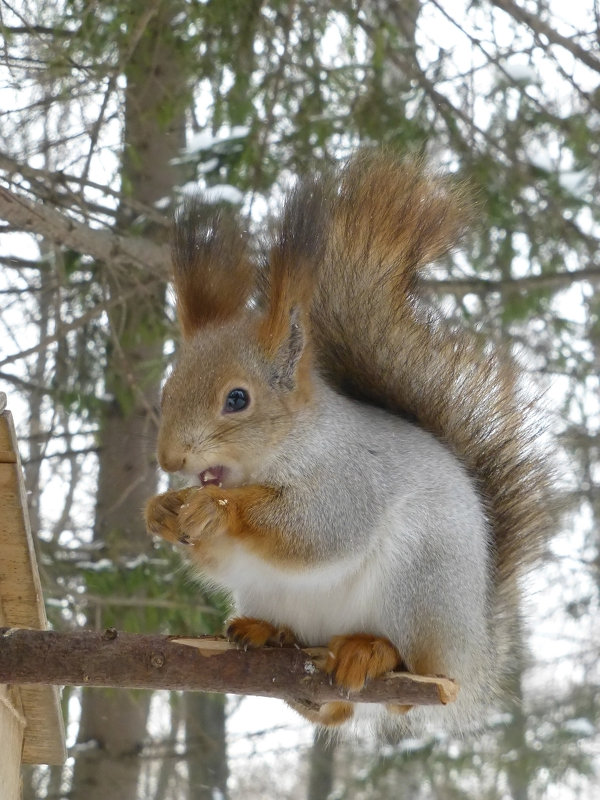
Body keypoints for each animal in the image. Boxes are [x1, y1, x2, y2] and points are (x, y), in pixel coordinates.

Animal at [143, 150, 552, 736]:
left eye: (237, 399)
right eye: (168, 387)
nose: (169, 458)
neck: (276, 454)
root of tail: (472, 657)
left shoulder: (350, 479)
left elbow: (317, 531)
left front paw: (218, 508)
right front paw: (161, 510)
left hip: (418, 583)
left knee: (407, 681)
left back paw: (370, 651)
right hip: (273, 594)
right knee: (336, 711)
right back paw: (273, 639)